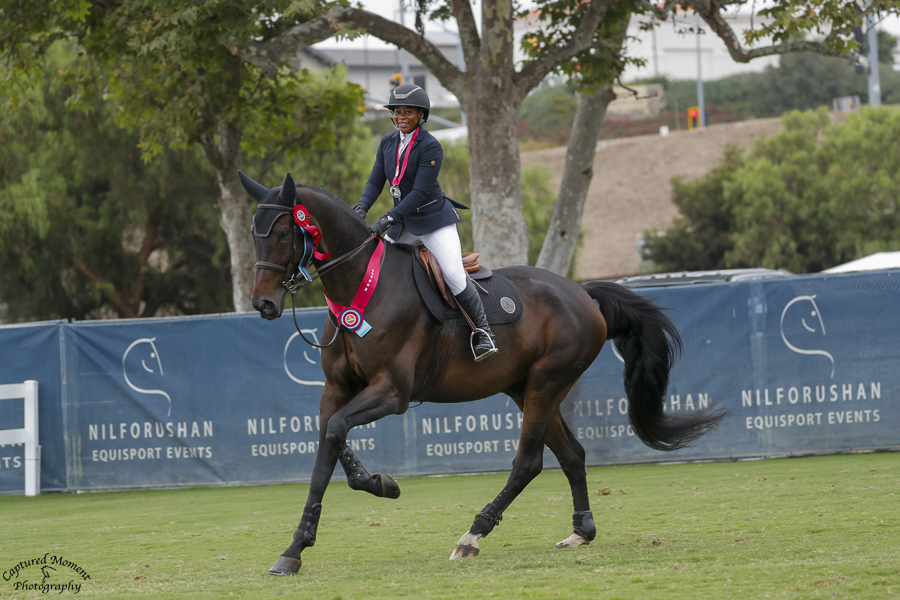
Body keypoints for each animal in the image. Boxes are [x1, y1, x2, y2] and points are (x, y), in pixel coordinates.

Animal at [241, 171, 726, 576]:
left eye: (283, 232)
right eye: (253, 234)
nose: (263, 304)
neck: (365, 283)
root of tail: (581, 293)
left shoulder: (392, 393)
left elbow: (337, 431)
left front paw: (379, 485)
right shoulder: (336, 390)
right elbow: (327, 448)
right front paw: (296, 548)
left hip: (545, 385)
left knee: (528, 463)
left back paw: (472, 535)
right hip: (527, 390)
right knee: (572, 455)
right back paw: (580, 533)